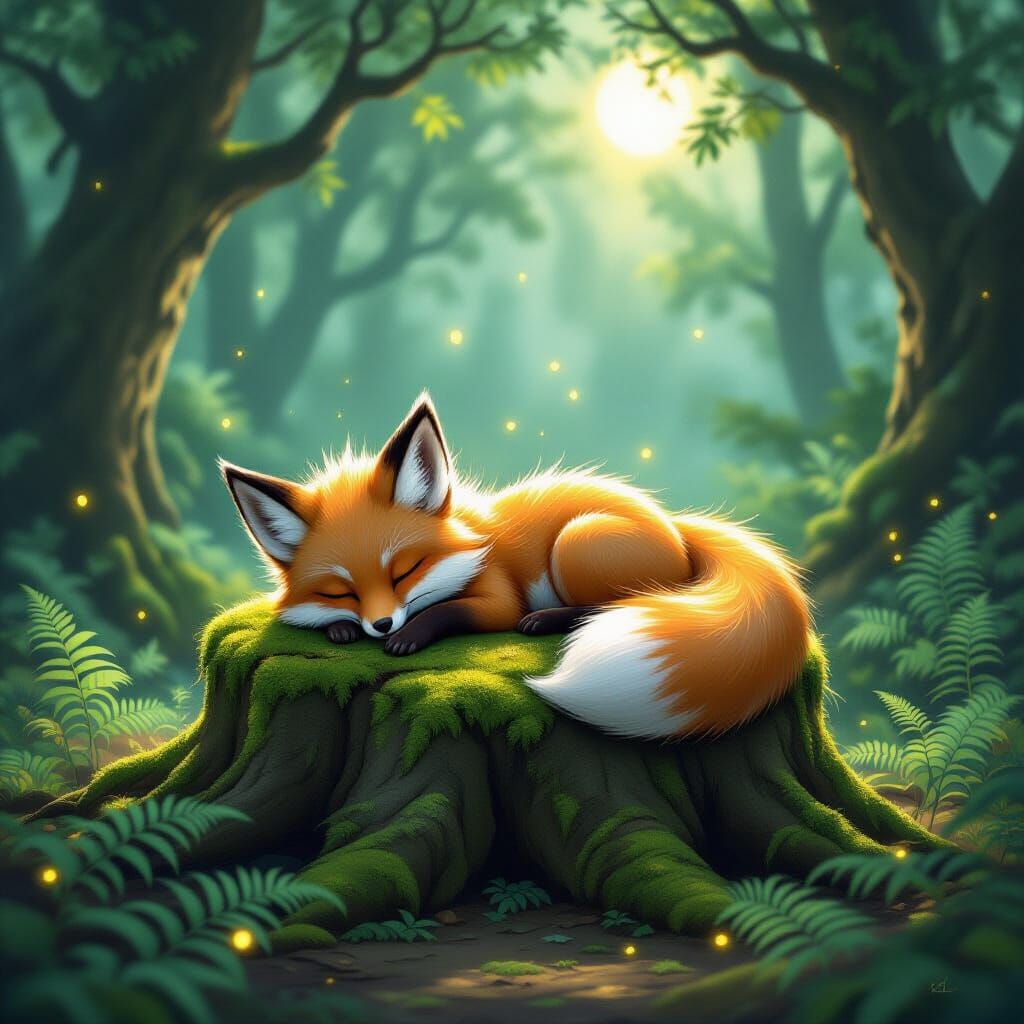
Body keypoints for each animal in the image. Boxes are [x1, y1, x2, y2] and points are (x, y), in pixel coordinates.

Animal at [221, 394, 811, 741]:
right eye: (339, 592)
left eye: (405, 571)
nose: (382, 624)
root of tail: (677, 528)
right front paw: (342, 631)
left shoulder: (497, 596)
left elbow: (452, 610)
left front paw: (410, 635)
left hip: (576, 543)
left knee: (626, 599)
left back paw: (549, 620)